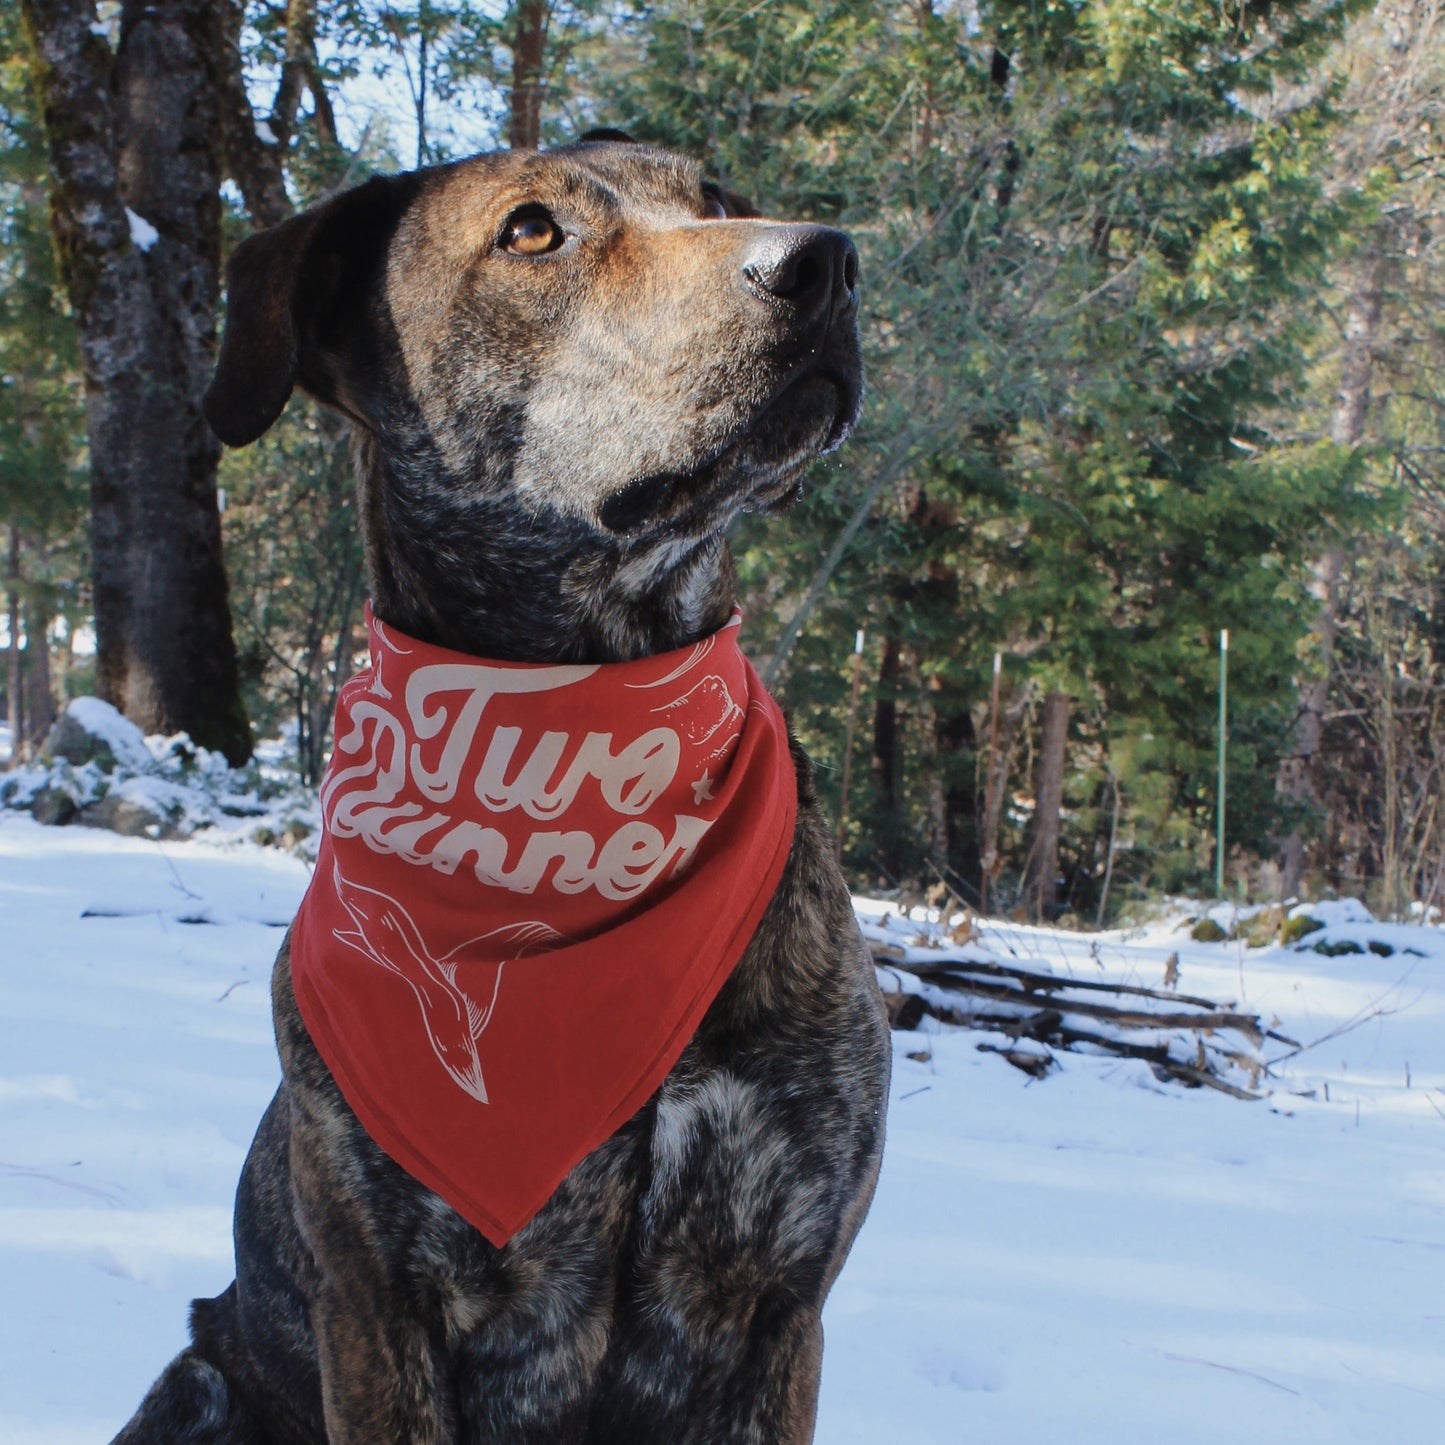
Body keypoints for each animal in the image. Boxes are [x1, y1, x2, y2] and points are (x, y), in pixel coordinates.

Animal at [112, 135, 884, 1445]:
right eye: (531, 232)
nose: (823, 260)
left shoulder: (777, 1300)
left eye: (715, 200)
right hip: (196, 1381)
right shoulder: (380, 1302)